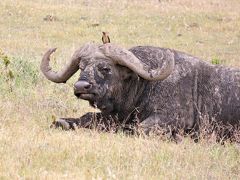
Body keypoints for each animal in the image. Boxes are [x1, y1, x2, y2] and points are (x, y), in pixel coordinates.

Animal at [41, 43, 240, 138]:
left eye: (106, 68)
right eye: (82, 67)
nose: (81, 86)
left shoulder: (170, 119)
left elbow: (137, 129)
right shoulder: (116, 115)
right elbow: (88, 117)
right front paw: (63, 122)